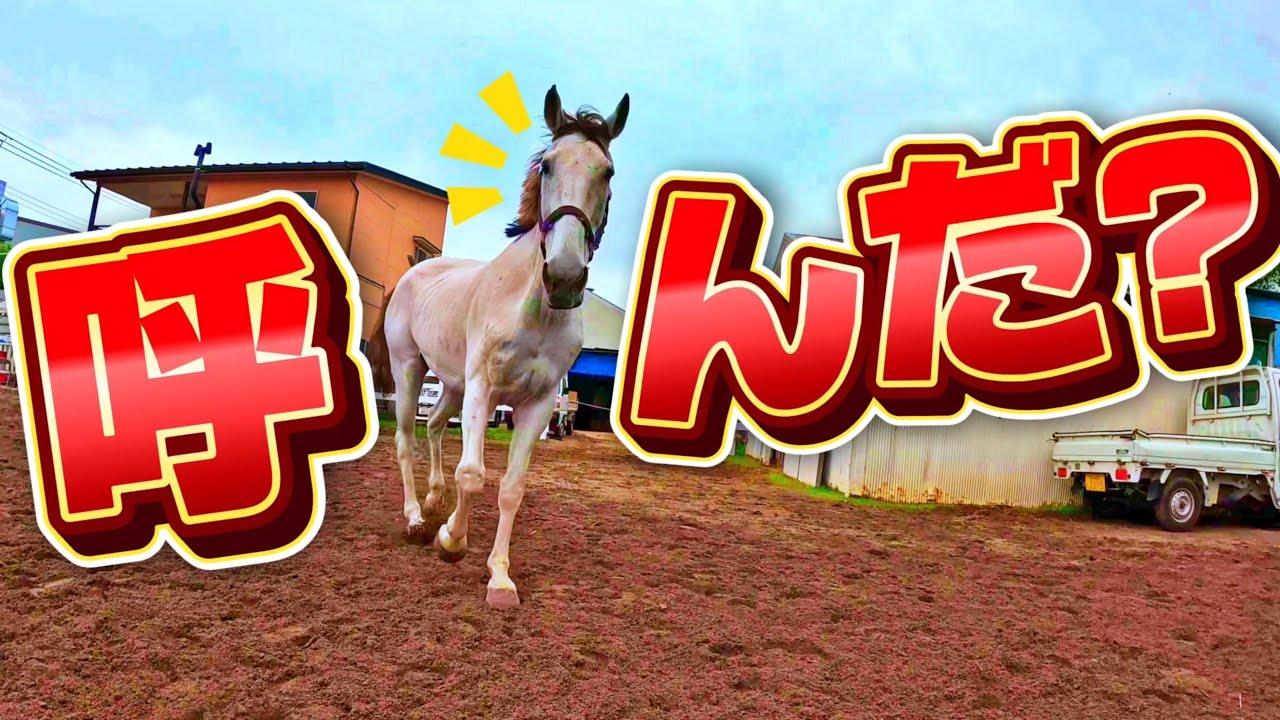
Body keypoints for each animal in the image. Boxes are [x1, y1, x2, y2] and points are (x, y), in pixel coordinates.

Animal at [365, 85, 629, 609]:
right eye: (547, 166)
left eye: (607, 172)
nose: (565, 276)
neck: (533, 308)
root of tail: (413, 273)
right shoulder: (483, 390)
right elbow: (473, 474)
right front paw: (451, 540)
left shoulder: (538, 403)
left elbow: (511, 487)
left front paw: (500, 577)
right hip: (410, 370)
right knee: (406, 439)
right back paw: (416, 519)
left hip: (450, 384)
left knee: (434, 428)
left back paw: (434, 500)